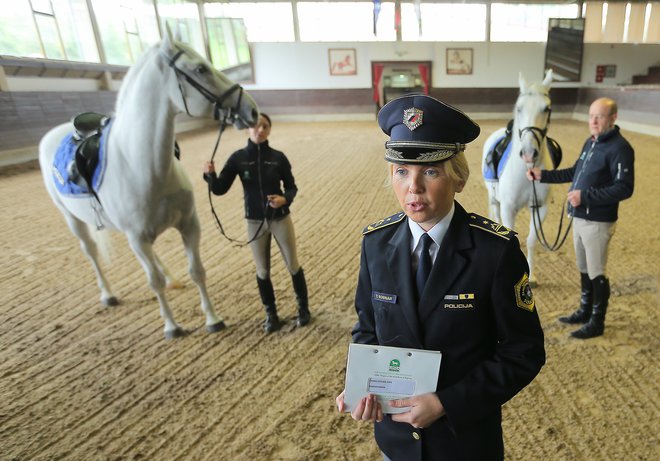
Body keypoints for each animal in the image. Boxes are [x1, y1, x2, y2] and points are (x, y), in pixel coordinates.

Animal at [37, 28, 260, 338]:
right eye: (200, 69)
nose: (251, 110)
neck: (142, 165)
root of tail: (52, 134)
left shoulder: (189, 224)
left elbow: (197, 270)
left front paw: (213, 319)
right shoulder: (137, 238)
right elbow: (153, 281)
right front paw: (172, 326)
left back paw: (172, 279)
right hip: (73, 220)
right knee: (91, 251)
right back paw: (108, 295)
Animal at [482, 68, 556, 286]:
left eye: (547, 108)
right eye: (519, 108)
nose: (529, 153)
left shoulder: (540, 207)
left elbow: (532, 240)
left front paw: (532, 276)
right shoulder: (508, 207)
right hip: (494, 197)